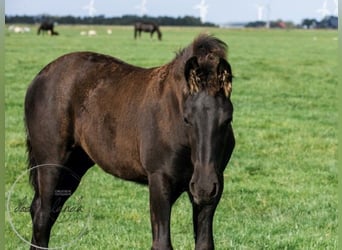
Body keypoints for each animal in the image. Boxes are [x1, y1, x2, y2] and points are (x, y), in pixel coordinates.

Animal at [24, 33, 235, 250]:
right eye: (186, 119)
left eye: (228, 119)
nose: (204, 187)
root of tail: (39, 78)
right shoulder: (158, 180)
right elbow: (162, 243)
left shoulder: (213, 187)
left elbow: (204, 243)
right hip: (51, 165)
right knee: (42, 215)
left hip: (75, 165)